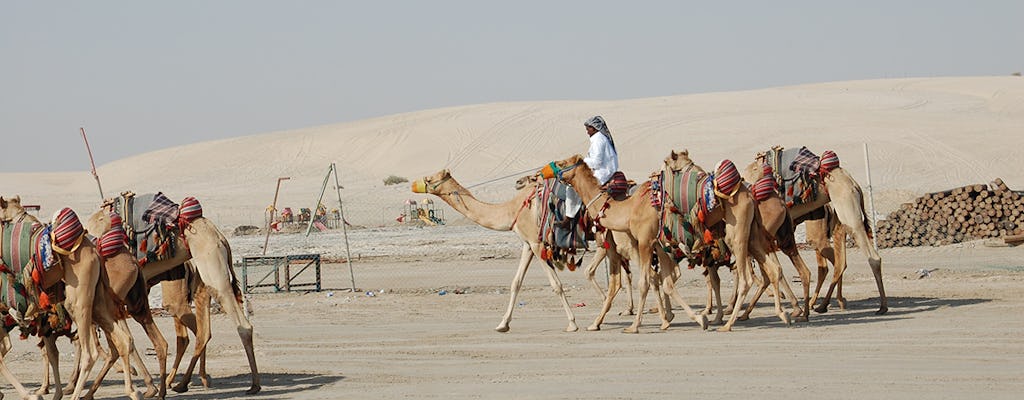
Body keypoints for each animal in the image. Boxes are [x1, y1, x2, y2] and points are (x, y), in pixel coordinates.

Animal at [84, 197, 262, 394]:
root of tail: (219, 235)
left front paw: (146, 384)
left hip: (210, 268)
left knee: (237, 324)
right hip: (200, 281)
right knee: (201, 331)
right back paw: (189, 381)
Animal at [411, 170, 643, 333]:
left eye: (430, 178)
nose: (414, 184)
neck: (513, 209)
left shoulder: (538, 244)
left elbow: (556, 285)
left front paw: (572, 323)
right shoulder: (527, 244)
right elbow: (516, 283)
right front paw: (503, 324)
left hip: (618, 239)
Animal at [540, 155, 716, 333]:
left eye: (562, 163)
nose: (542, 172)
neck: (629, 210)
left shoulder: (644, 241)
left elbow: (643, 282)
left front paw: (634, 326)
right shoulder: (657, 245)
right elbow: (665, 282)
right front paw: (694, 319)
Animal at [745, 148, 888, 315]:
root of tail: (854, 183)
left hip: (848, 212)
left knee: (868, 257)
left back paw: (879, 306)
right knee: (838, 261)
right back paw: (828, 303)